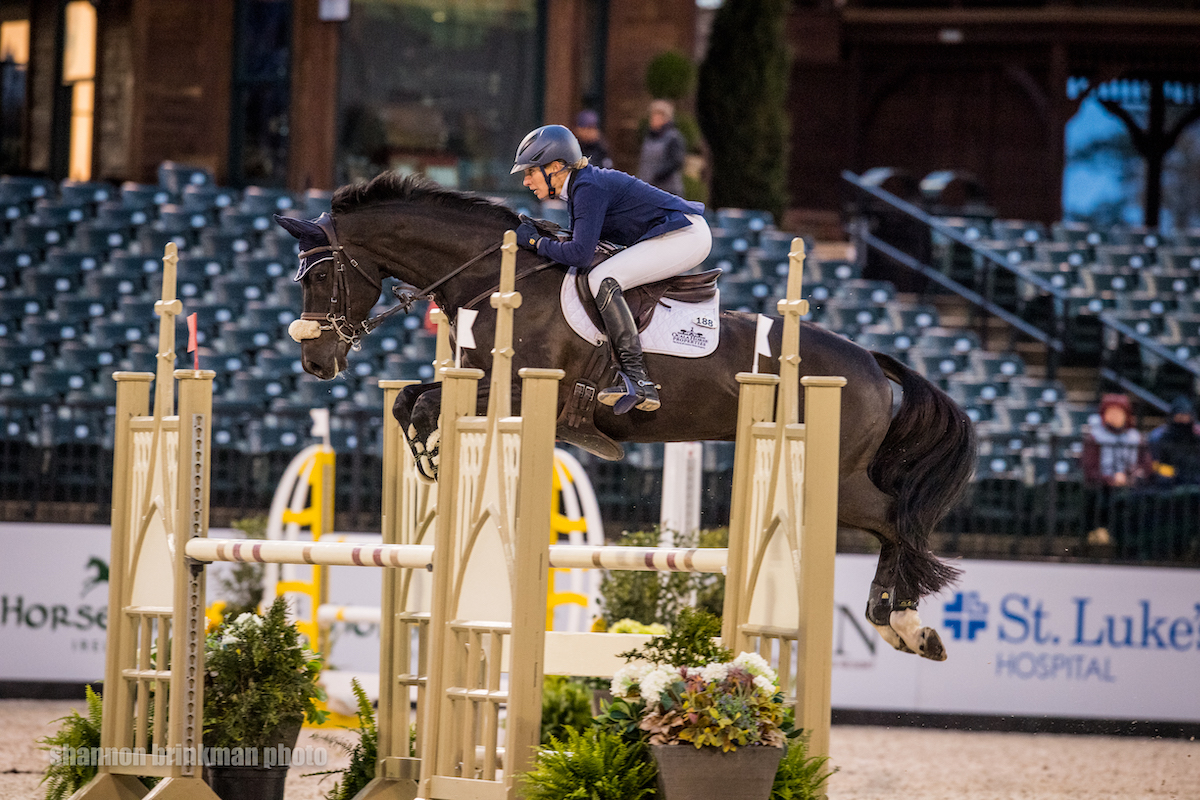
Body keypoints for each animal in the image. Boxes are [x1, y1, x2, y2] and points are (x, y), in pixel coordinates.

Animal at [278, 175, 974, 662]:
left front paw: (429, 448)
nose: (314, 360)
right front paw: (427, 454)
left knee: (897, 521)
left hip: (838, 479)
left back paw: (908, 626)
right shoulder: (474, 384)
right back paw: (898, 625)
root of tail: (871, 363)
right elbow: (409, 400)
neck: (493, 280)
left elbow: (422, 403)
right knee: (894, 526)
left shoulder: (522, 394)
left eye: (321, 278)